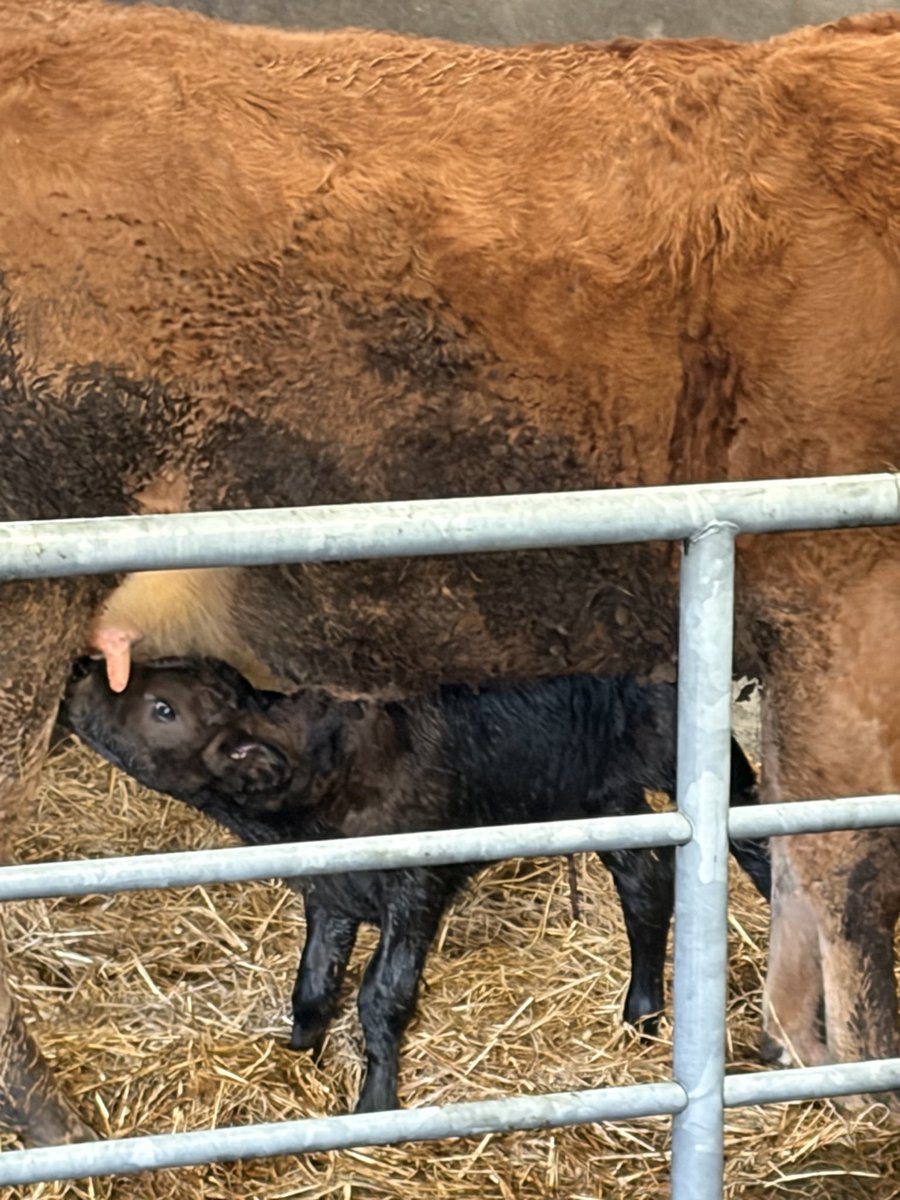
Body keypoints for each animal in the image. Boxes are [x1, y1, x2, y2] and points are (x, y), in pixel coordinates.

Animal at [60, 655, 771, 1113]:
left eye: (163, 708)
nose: (81, 668)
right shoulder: (332, 895)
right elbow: (313, 986)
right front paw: (298, 1061)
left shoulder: (416, 887)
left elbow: (382, 996)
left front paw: (375, 1106)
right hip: (600, 796)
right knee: (646, 882)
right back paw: (641, 1015)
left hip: (696, 768)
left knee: (757, 846)